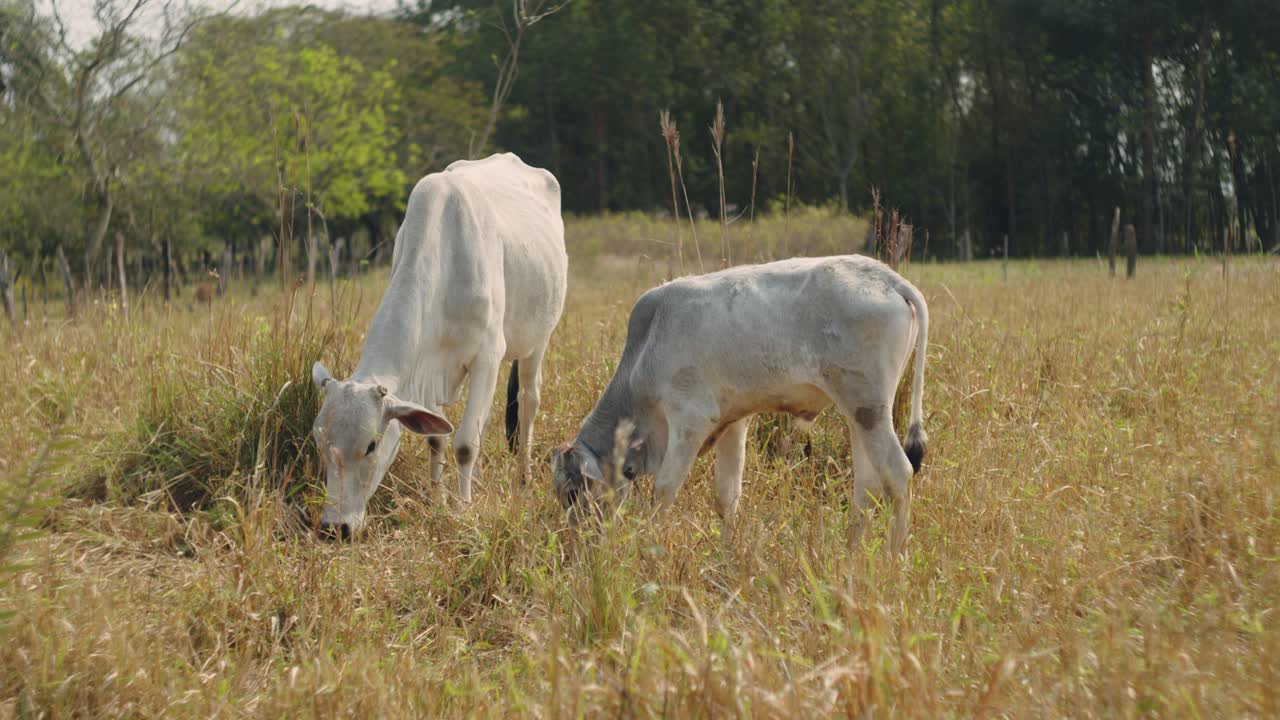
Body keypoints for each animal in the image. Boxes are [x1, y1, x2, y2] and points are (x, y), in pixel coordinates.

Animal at [312, 153, 567, 538]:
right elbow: (438, 437)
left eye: (371, 445)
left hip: (537, 340)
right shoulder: (427, 369)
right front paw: (439, 500)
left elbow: (464, 445)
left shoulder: (488, 354)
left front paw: (463, 510)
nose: (334, 527)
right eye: (319, 440)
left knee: (527, 402)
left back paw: (523, 478)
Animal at [550, 255, 928, 555]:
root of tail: (885, 277)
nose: (575, 543)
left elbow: (664, 491)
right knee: (867, 486)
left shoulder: (690, 422)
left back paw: (895, 554)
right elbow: (727, 495)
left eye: (573, 492)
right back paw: (851, 551)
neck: (643, 354)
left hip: (869, 409)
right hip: (860, 414)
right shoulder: (733, 423)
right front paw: (727, 549)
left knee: (899, 474)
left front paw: (651, 547)